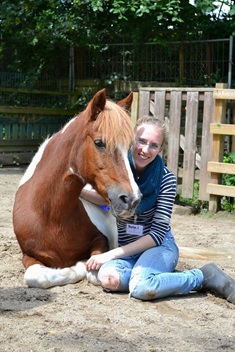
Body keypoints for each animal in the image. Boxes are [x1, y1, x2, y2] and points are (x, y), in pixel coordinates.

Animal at [13, 89, 141, 290]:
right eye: (99, 142)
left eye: (129, 147)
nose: (132, 199)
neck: (51, 217)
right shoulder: (28, 254)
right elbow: (36, 277)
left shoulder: (101, 238)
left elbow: (93, 270)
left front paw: (79, 265)